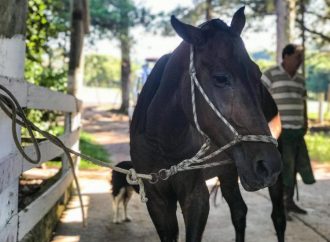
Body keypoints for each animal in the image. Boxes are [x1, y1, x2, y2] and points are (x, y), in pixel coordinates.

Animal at [130, 7, 284, 242]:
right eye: (220, 78)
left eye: (257, 73)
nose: (268, 165)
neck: (162, 141)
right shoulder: (157, 201)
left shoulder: (195, 198)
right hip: (230, 171)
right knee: (239, 212)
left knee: (278, 217)